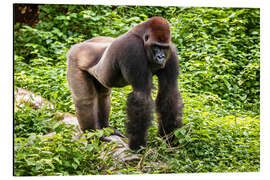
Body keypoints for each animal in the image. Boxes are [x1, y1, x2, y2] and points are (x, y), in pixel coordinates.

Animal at [67, 16, 184, 150]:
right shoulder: (132, 48)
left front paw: (168, 138)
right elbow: (141, 96)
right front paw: (137, 145)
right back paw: (93, 136)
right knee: (85, 100)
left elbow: (169, 93)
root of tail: (79, 45)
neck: (141, 36)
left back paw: (105, 127)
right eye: (156, 46)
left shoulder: (172, 52)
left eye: (164, 48)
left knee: (103, 95)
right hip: (74, 57)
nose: (161, 57)